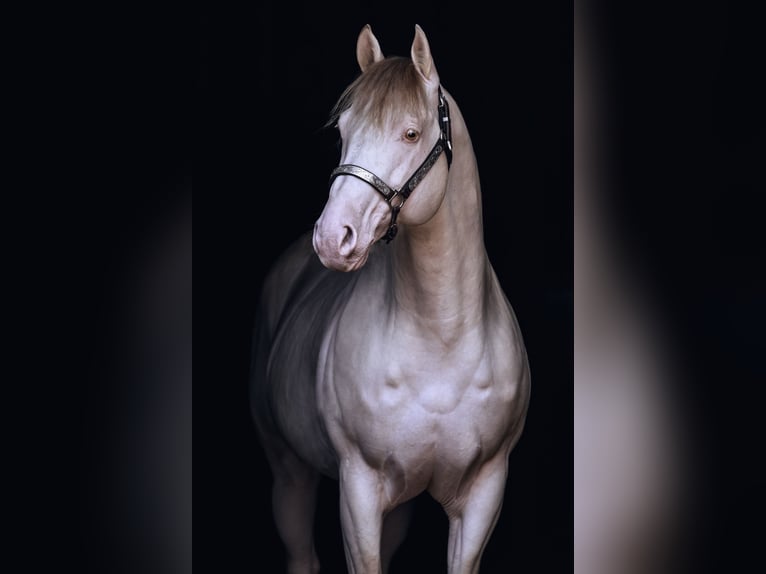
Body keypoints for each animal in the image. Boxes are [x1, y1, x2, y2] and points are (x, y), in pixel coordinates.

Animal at [250, 24, 530, 574]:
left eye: (411, 134)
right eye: (343, 131)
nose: (332, 238)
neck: (441, 338)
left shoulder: (485, 492)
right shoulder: (359, 489)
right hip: (289, 473)